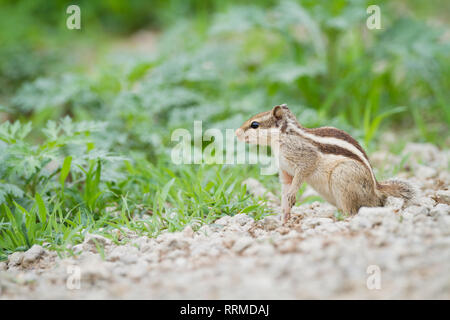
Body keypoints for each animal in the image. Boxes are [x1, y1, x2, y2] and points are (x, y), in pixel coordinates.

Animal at [236, 104, 414, 222]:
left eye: (254, 125)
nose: (236, 133)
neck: (283, 137)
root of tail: (376, 190)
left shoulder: (306, 157)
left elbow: (301, 175)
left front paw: (292, 195)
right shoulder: (285, 171)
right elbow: (286, 188)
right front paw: (285, 217)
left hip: (342, 178)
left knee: (353, 210)